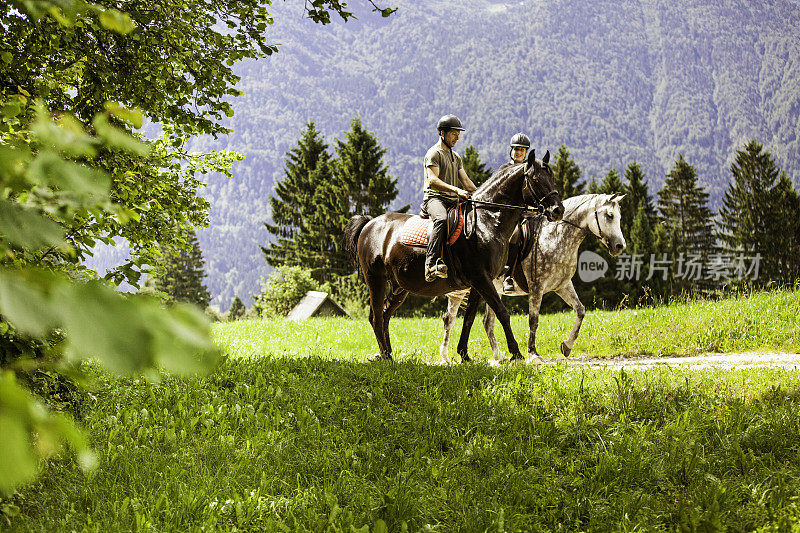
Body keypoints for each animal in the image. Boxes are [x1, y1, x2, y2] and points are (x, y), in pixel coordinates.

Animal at [344, 152, 564, 364]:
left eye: (552, 177)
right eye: (536, 179)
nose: (558, 210)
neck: (487, 220)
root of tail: (369, 223)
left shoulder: (478, 282)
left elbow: (469, 318)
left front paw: (464, 354)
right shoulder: (480, 277)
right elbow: (502, 312)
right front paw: (516, 353)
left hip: (399, 287)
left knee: (385, 314)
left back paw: (387, 353)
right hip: (375, 279)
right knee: (376, 317)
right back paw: (385, 355)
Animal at [440, 193, 628, 364]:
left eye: (619, 216)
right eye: (609, 215)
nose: (620, 246)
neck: (555, 236)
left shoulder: (563, 286)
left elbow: (580, 310)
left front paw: (567, 346)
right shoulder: (537, 287)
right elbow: (533, 320)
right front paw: (533, 353)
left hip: (492, 289)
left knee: (487, 321)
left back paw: (498, 356)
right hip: (466, 288)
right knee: (450, 319)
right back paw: (446, 357)